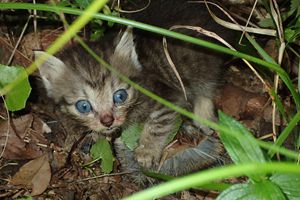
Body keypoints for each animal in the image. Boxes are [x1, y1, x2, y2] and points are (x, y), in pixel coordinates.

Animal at [35, 0, 234, 169]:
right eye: (83, 106)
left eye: (120, 96)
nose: (108, 121)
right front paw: (98, 133)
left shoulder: (169, 94)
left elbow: (158, 123)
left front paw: (146, 151)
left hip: (203, 63)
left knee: (206, 89)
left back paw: (204, 117)